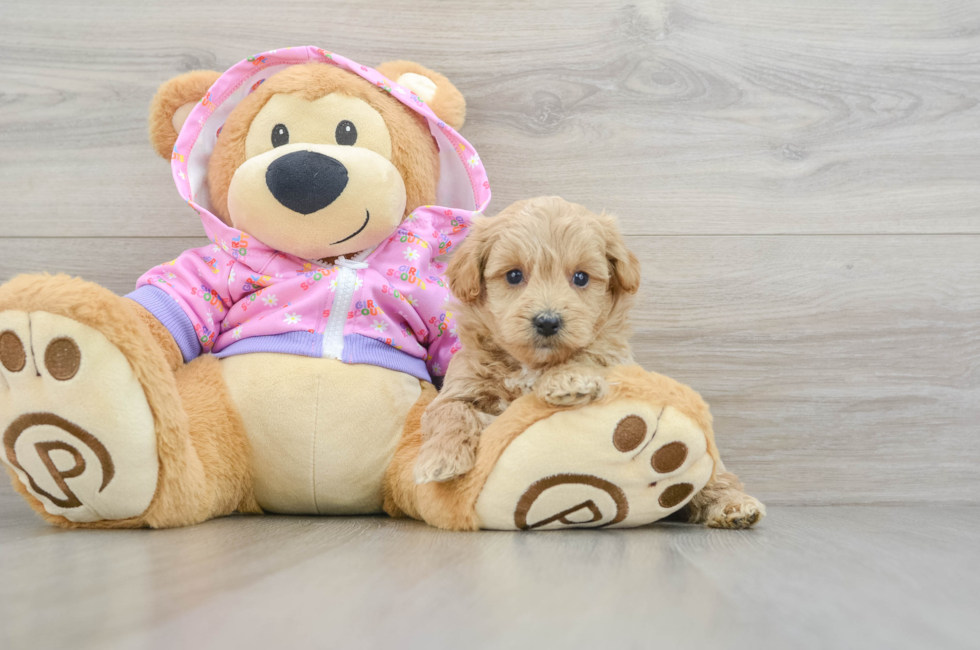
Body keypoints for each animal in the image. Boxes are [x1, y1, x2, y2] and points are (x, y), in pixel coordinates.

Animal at [416, 195, 640, 484]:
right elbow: (451, 411)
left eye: (581, 277)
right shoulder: (457, 387)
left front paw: (569, 378)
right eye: (514, 275)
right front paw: (441, 458)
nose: (547, 321)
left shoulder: (616, 360)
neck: (529, 366)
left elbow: (589, 353)